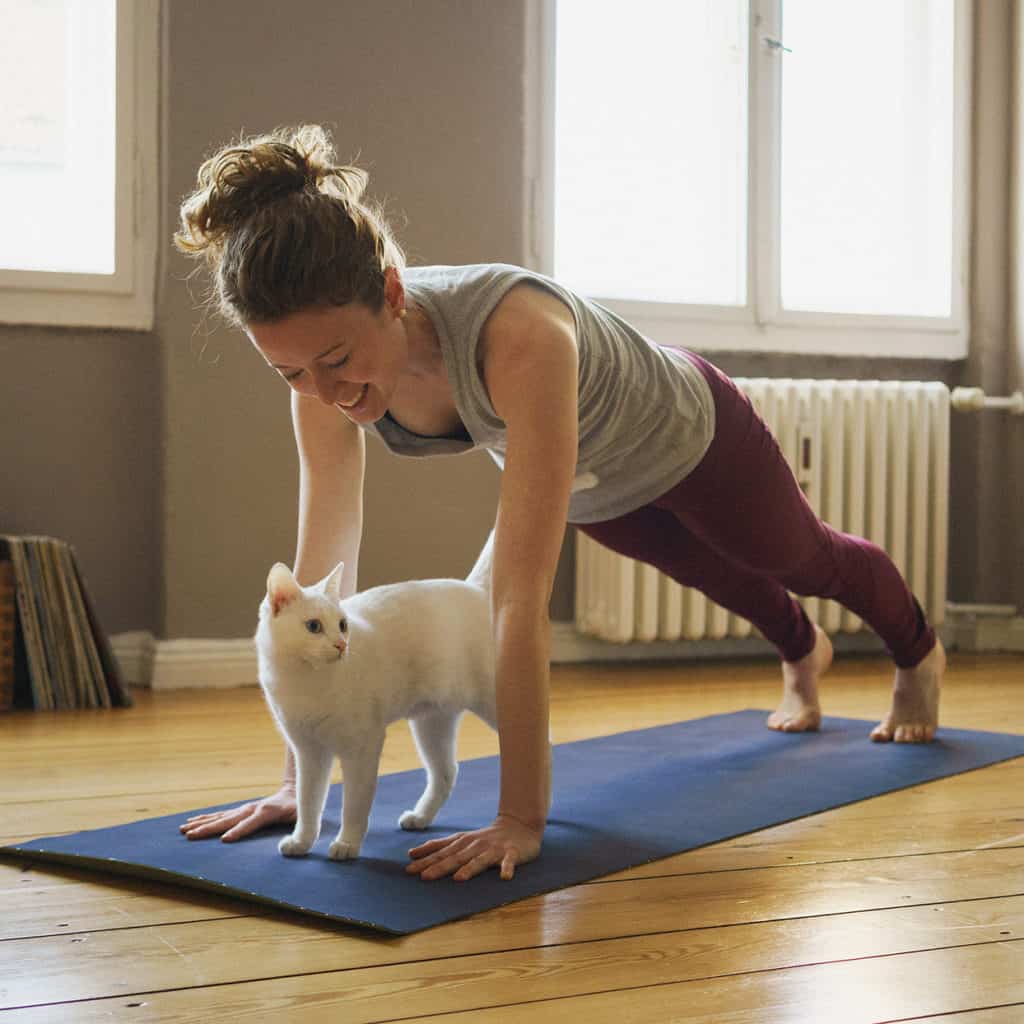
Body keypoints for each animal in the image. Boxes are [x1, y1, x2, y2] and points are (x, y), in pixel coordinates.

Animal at [254, 540, 495, 860]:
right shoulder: (309, 753)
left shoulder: (362, 749)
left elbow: (354, 805)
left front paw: (347, 844)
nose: (341, 645)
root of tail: (473, 589)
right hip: (431, 725)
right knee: (447, 773)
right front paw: (301, 842)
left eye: (342, 625)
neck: (306, 681)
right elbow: (308, 804)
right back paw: (419, 818)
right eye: (314, 627)